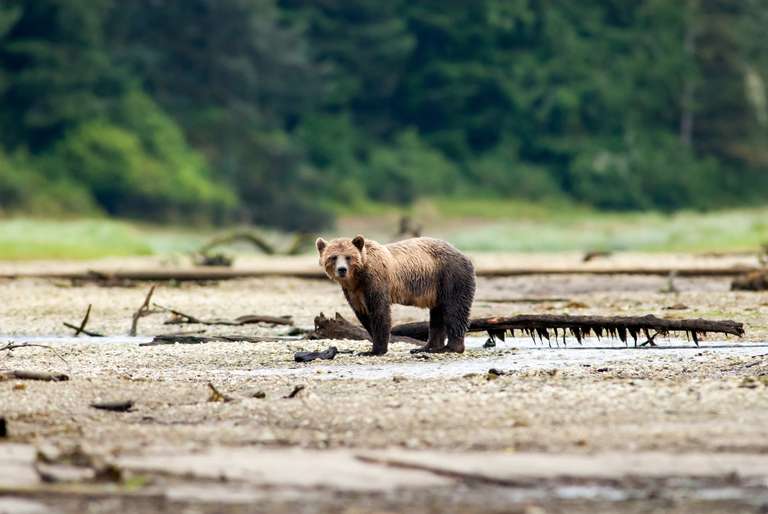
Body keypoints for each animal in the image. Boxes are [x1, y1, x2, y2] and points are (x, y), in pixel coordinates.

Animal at [315, 235, 476, 355]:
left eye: (348, 257)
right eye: (333, 257)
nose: (342, 270)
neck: (357, 277)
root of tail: (464, 255)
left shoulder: (375, 281)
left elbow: (380, 312)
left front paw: (375, 350)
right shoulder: (354, 292)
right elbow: (364, 314)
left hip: (450, 276)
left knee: (454, 309)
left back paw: (450, 348)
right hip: (437, 288)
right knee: (437, 314)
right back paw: (426, 347)